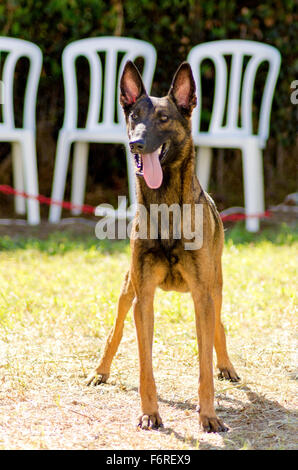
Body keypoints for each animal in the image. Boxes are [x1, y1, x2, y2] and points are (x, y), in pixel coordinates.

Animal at [86, 60, 240, 432]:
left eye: (164, 118)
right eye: (134, 115)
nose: (137, 144)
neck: (164, 205)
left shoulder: (203, 297)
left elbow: (204, 366)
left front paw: (209, 415)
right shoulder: (144, 299)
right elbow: (145, 365)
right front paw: (150, 412)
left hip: (215, 286)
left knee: (219, 325)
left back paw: (226, 365)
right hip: (128, 287)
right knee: (115, 330)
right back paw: (100, 371)